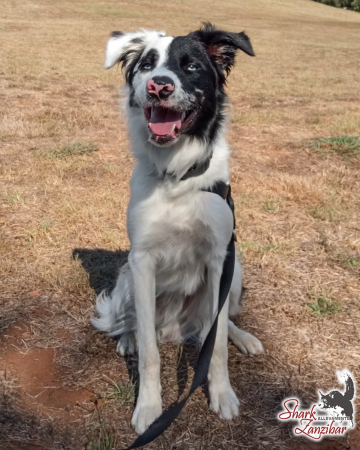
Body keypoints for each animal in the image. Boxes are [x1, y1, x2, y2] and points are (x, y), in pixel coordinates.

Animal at [91, 22, 262, 434]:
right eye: (147, 65)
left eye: (192, 67)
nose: (159, 86)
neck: (176, 176)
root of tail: (176, 330)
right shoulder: (142, 261)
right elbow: (151, 355)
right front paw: (149, 408)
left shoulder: (220, 259)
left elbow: (216, 345)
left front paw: (222, 394)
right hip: (126, 280)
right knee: (134, 324)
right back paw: (129, 339)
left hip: (235, 273)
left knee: (219, 323)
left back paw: (245, 337)